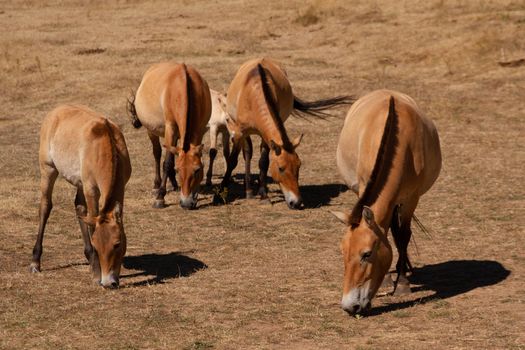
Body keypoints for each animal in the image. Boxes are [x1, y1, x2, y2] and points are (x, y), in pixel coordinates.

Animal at [31, 105, 132, 288]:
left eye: (117, 244)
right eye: (97, 246)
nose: (109, 282)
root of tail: (55, 111)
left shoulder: (120, 186)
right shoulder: (91, 189)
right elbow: (92, 224)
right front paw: (96, 274)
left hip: (79, 182)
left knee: (79, 207)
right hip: (48, 169)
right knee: (45, 207)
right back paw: (35, 262)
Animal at [128, 61, 211, 209]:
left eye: (197, 170)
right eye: (179, 170)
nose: (186, 203)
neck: (182, 88)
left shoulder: (198, 130)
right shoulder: (170, 128)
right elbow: (167, 162)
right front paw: (160, 197)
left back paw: (173, 184)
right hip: (152, 131)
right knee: (157, 153)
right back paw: (157, 185)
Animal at [215, 58, 354, 209]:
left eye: (299, 165)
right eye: (281, 168)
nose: (297, 202)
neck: (254, 94)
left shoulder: (266, 136)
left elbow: (263, 162)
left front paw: (264, 195)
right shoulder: (240, 132)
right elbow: (232, 161)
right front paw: (219, 195)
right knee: (247, 153)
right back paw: (249, 191)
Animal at [332, 89, 438, 314]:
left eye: (366, 254)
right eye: (343, 252)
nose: (349, 306)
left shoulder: (411, 198)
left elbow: (403, 236)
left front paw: (403, 284)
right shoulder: (363, 187)